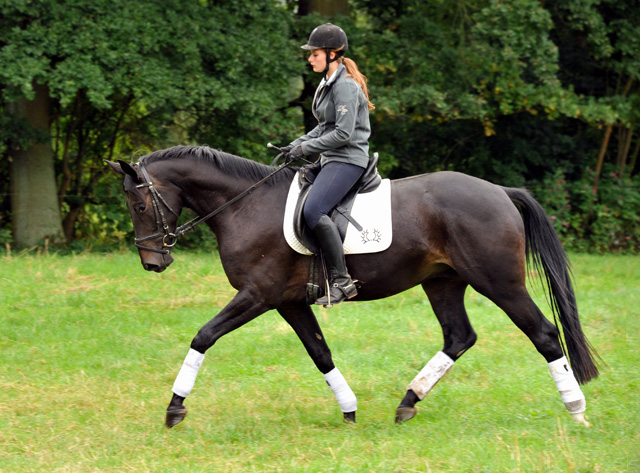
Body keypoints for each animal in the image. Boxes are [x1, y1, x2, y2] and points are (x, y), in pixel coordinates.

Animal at [106, 144, 600, 428]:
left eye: (138, 204)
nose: (152, 262)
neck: (245, 205)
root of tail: (499, 191)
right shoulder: (287, 302)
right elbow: (320, 352)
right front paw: (348, 408)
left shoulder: (257, 295)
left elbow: (203, 336)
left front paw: (175, 408)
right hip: (443, 283)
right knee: (459, 336)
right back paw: (408, 401)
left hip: (499, 282)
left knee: (543, 333)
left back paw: (576, 409)